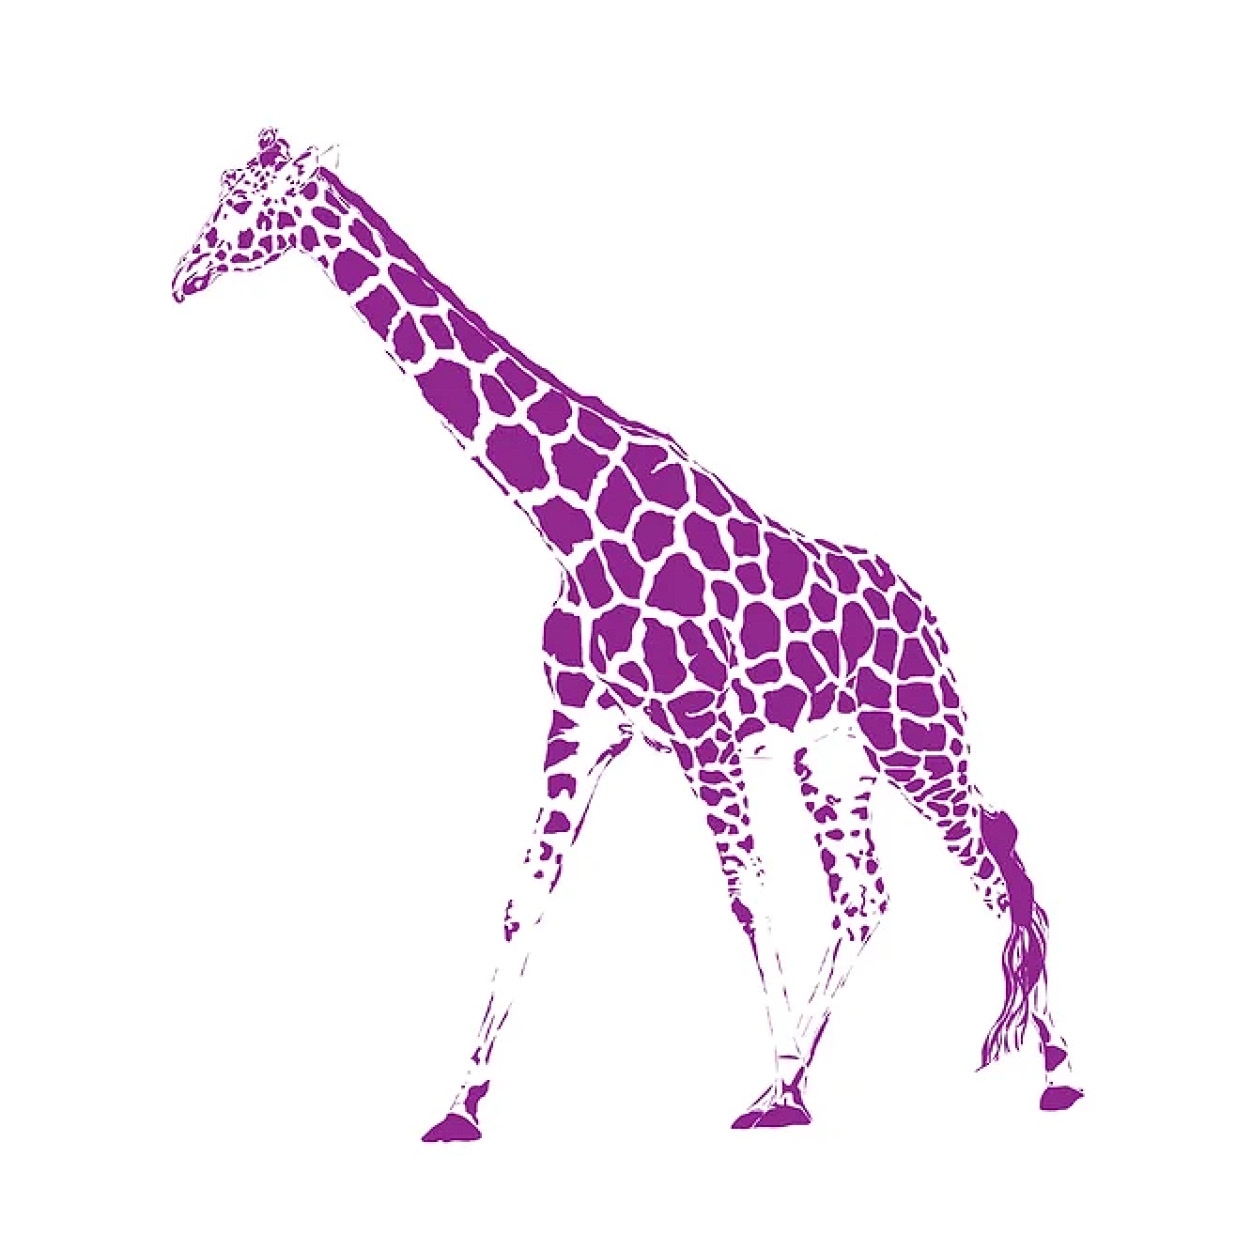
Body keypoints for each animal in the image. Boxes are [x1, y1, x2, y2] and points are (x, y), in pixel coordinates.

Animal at [172, 130, 1083, 1141]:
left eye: (244, 203)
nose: (180, 277)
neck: (568, 520)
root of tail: (931, 617)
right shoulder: (580, 724)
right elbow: (523, 902)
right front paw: (460, 1104)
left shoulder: (701, 726)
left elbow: (747, 895)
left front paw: (778, 1086)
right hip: (833, 757)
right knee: (865, 897)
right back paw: (793, 1082)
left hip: (918, 742)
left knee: (999, 868)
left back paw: (1052, 1072)